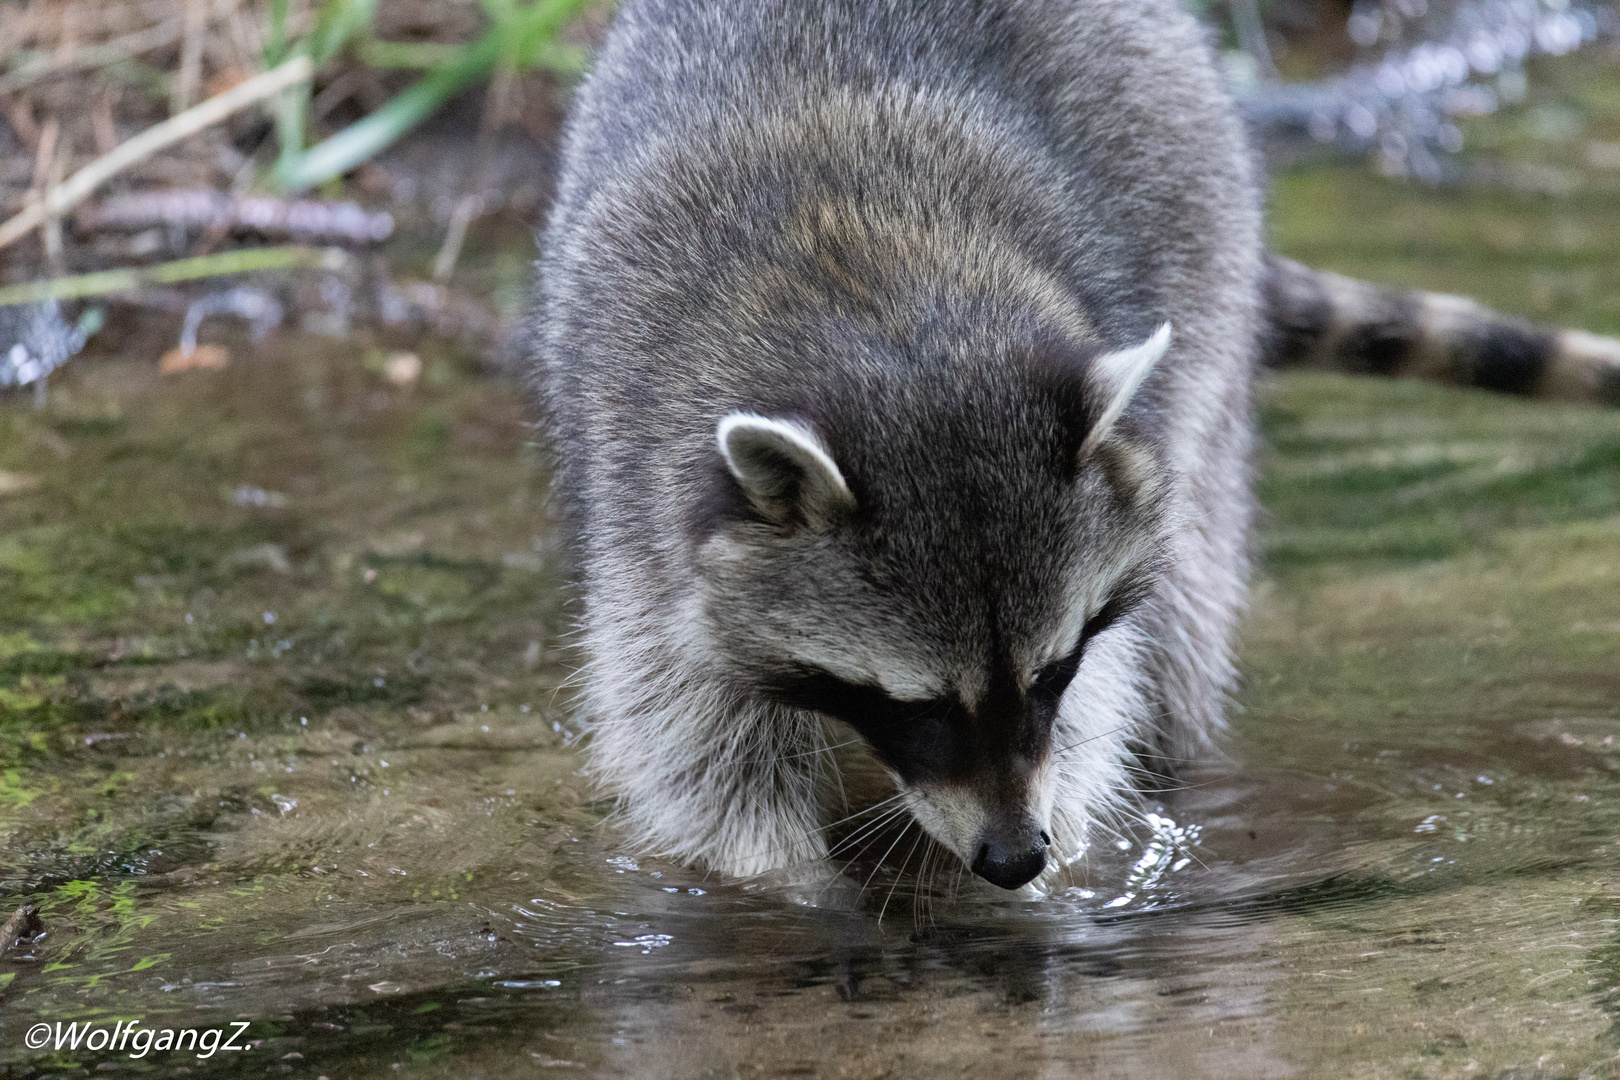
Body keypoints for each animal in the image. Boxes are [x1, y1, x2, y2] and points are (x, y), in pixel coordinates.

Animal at [531, 0, 1620, 893]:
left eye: (1054, 669)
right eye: (920, 706)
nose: (1016, 859)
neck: (876, 309)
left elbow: (1108, 702)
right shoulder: (645, 502)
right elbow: (696, 747)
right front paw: (791, 892)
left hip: (1203, 276)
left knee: (1183, 620)